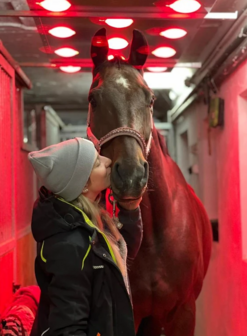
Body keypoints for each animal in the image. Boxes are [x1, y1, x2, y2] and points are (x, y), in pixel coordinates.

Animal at [87, 28, 212, 336]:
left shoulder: (184, 313)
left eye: (151, 99)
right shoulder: (131, 314)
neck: (156, 237)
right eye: (93, 99)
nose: (131, 175)